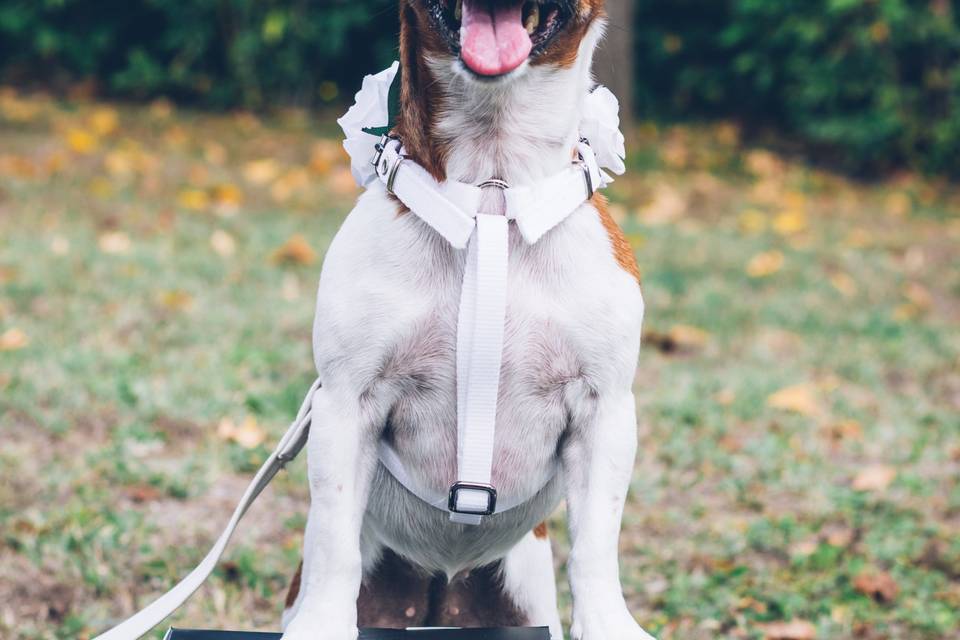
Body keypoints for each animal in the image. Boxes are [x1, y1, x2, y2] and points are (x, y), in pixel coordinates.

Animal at [282, 1, 648, 640]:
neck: (492, 190)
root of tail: (439, 591)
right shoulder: (345, 403)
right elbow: (334, 540)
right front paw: (322, 624)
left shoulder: (604, 412)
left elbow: (595, 548)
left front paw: (608, 622)